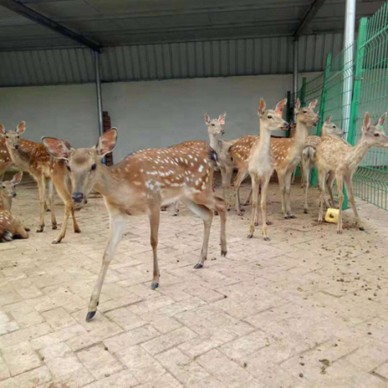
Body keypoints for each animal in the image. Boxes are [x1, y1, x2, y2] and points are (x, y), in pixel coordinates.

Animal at [42, 128, 226, 322]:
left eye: (93, 165)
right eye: (69, 166)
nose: (77, 196)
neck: (124, 187)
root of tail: (211, 151)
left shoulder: (154, 202)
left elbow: (153, 241)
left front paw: (155, 280)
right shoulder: (117, 215)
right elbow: (107, 253)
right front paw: (91, 307)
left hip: (201, 188)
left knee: (221, 204)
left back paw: (223, 249)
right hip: (187, 197)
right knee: (208, 214)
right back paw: (201, 260)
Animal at [249, 97, 288, 241]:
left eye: (280, 115)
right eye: (269, 116)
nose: (286, 124)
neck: (261, 163)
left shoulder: (267, 175)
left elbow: (263, 203)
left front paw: (265, 233)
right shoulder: (253, 174)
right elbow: (254, 202)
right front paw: (250, 231)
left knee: (262, 197)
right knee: (256, 196)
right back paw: (255, 221)